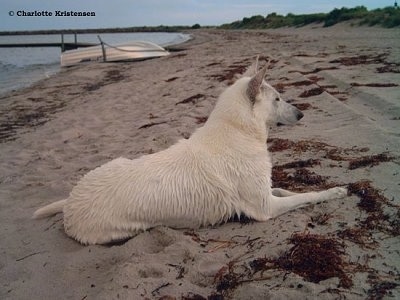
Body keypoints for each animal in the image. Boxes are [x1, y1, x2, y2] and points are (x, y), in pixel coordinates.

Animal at [33, 58, 346, 244]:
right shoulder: (266, 208)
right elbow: (308, 196)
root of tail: (70, 203)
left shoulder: (267, 193)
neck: (239, 130)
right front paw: (335, 192)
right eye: (278, 99)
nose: (302, 114)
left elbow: (288, 190)